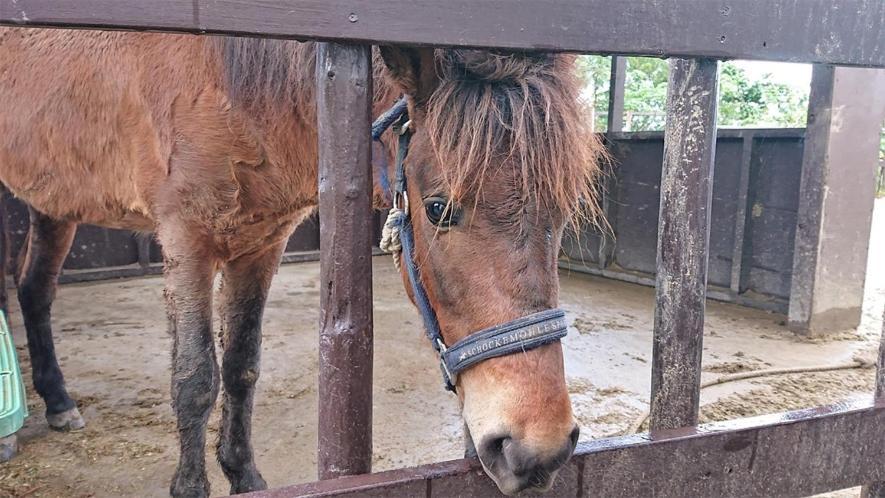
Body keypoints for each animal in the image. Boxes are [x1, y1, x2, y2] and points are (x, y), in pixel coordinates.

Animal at [0, 28, 600, 498]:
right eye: (438, 209)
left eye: (562, 213)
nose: (539, 449)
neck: (229, 85)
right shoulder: (186, 242)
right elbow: (195, 379)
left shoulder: (260, 247)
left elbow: (241, 367)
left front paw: (245, 477)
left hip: (53, 206)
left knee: (33, 290)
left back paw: (58, 401)